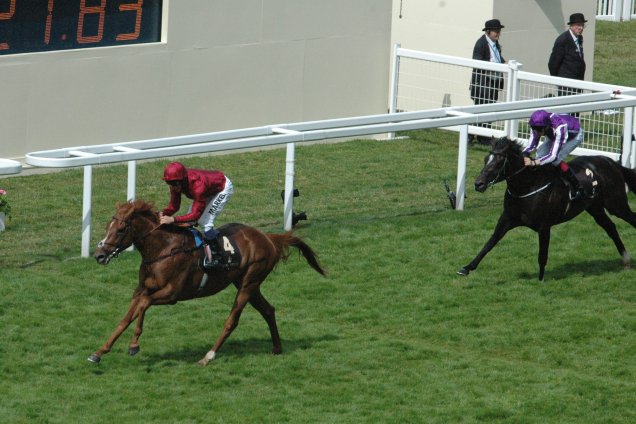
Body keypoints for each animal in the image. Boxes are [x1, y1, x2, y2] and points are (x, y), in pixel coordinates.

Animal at [89, 200, 326, 366]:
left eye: (121, 229)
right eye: (108, 226)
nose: (99, 255)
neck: (163, 249)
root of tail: (267, 238)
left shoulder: (172, 294)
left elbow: (144, 305)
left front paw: (133, 345)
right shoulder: (141, 290)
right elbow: (127, 317)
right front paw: (99, 352)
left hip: (250, 281)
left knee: (233, 320)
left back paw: (208, 356)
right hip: (246, 283)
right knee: (268, 310)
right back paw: (277, 348)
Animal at [458, 137, 636, 280]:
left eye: (499, 161)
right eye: (486, 159)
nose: (478, 183)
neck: (527, 186)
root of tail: (612, 162)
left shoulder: (544, 226)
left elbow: (542, 255)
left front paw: (541, 279)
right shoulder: (507, 219)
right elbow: (489, 243)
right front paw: (466, 268)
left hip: (616, 204)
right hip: (595, 207)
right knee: (610, 227)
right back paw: (626, 260)